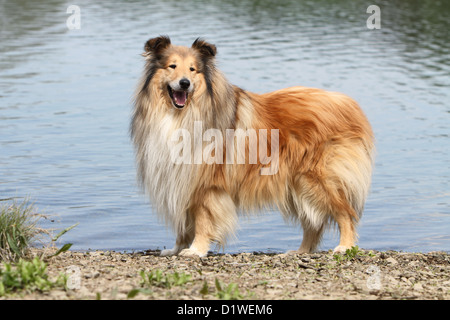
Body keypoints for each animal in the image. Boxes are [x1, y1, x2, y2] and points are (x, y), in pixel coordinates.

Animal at [131, 35, 376, 258]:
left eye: (193, 70)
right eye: (172, 66)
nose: (184, 83)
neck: (181, 114)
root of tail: (349, 104)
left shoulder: (205, 184)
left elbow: (202, 220)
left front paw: (196, 250)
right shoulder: (180, 178)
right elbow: (184, 223)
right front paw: (176, 248)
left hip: (318, 179)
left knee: (344, 213)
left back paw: (345, 246)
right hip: (298, 184)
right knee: (313, 223)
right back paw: (300, 251)